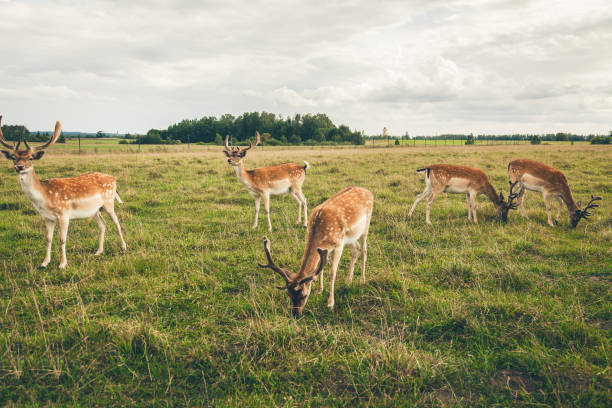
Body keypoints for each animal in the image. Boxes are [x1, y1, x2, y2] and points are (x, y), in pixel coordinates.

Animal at [0, 115, 126, 268]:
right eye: (13, 157)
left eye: (30, 157)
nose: (19, 167)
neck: (44, 198)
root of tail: (114, 179)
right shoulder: (47, 217)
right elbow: (48, 238)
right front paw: (44, 263)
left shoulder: (64, 213)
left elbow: (62, 239)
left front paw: (62, 264)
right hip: (95, 210)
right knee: (103, 225)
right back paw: (98, 251)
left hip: (109, 202)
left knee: (117, 223)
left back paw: (124, 247)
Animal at [256, 186, 372, 318]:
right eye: (288, 294)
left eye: (304, 295)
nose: (296, 314)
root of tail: (368, 191)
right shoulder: (326, 249)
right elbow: (320, 268)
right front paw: (319, 290)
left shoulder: (338, 245)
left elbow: (332, 273)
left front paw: (330, 303)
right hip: (351, 237)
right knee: (356, 248)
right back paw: (348, 281)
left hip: (366, 226)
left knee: (364, 251)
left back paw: (362, 280)